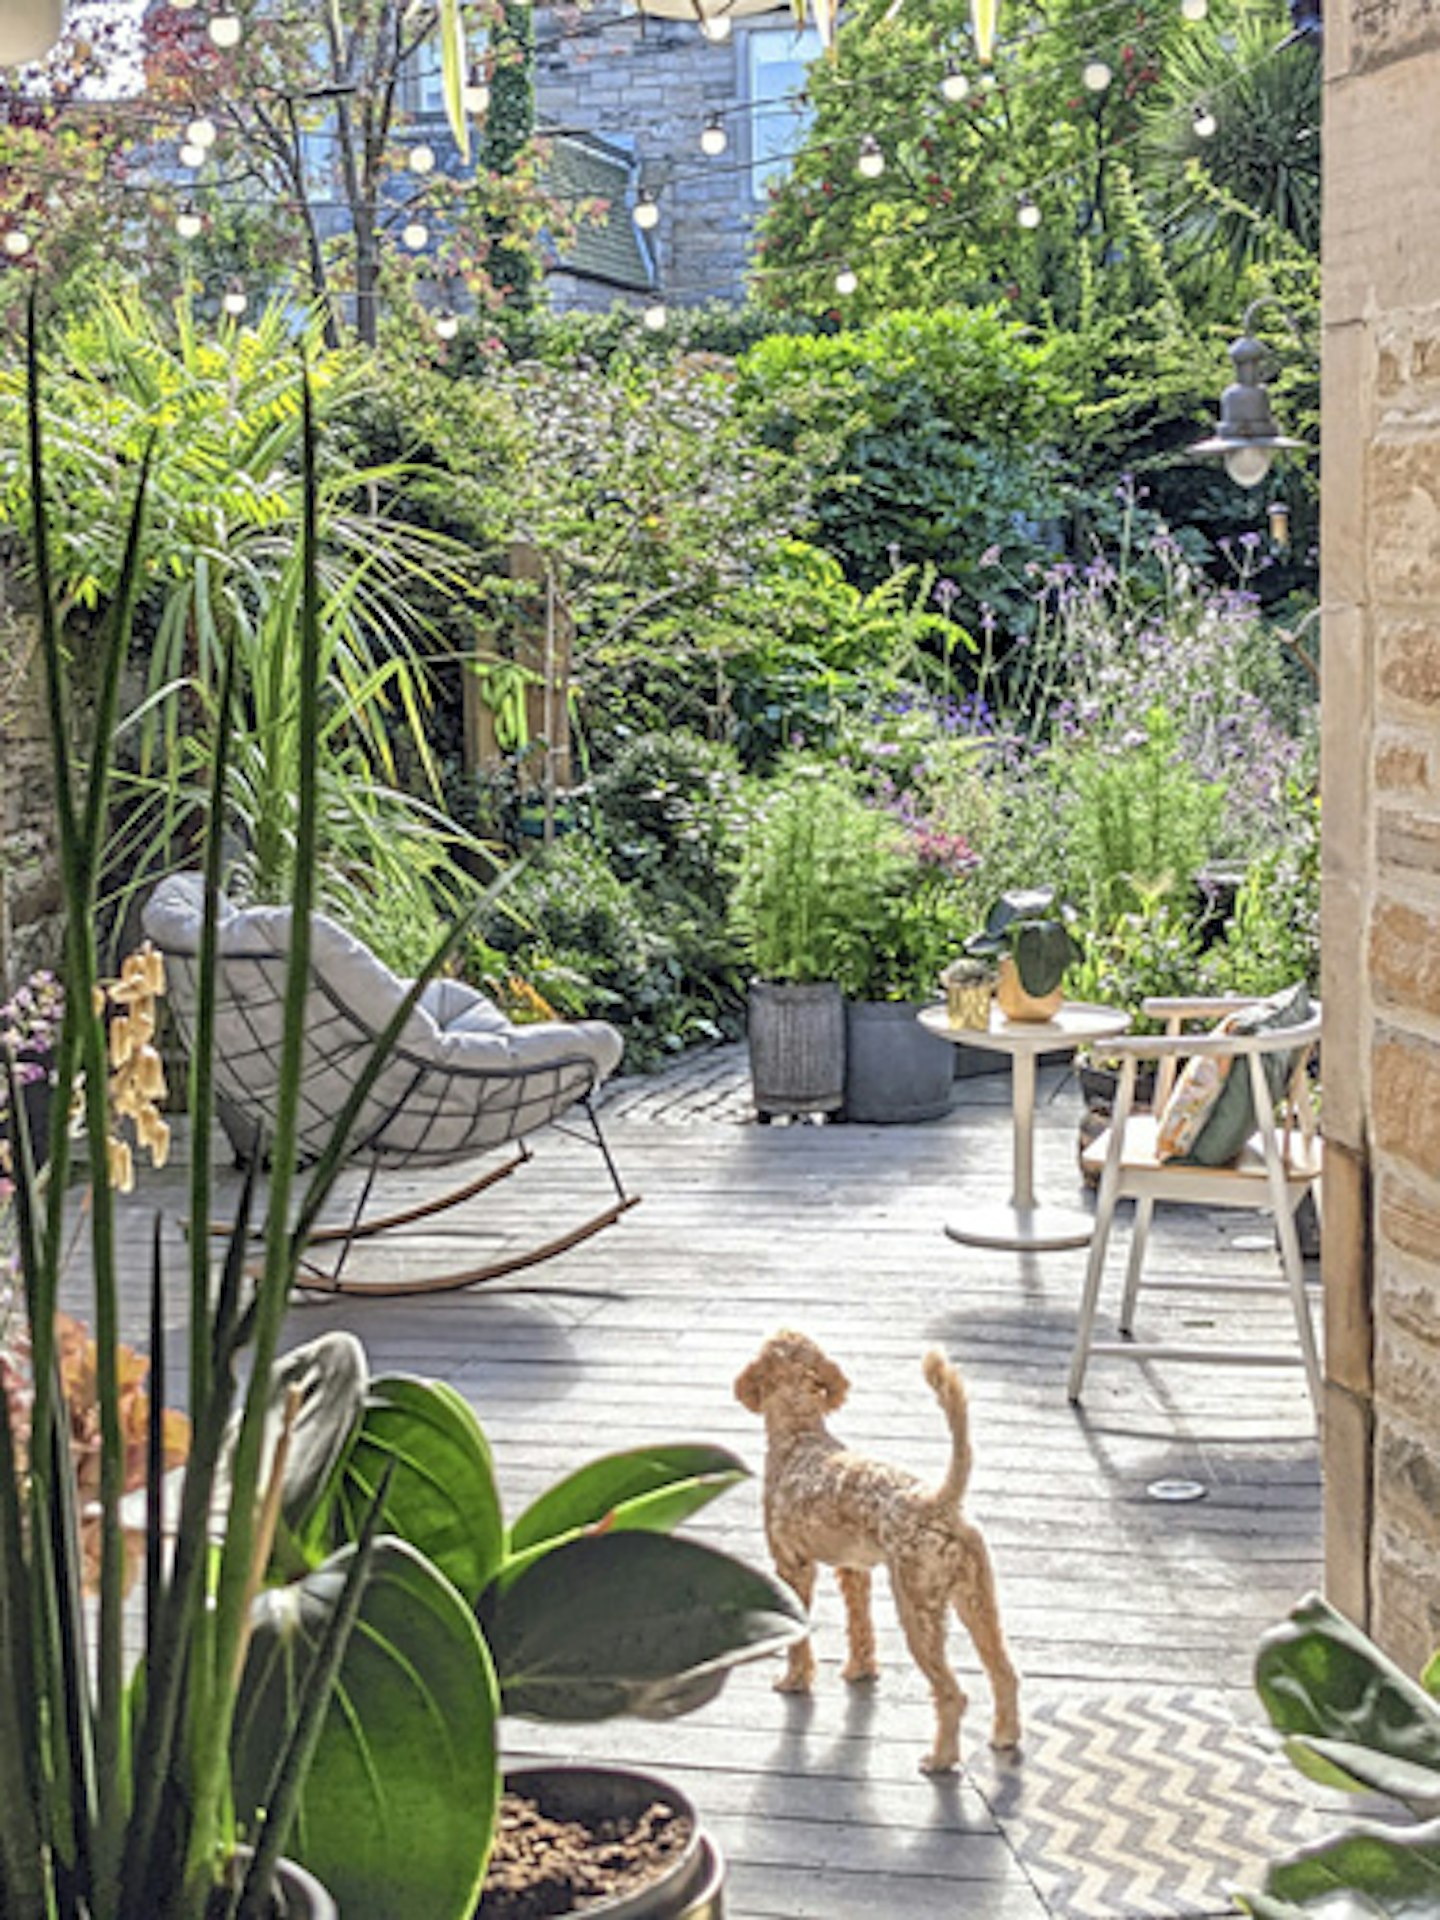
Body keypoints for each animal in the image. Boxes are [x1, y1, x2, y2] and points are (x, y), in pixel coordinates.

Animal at [737, 1336, 1021, 1766]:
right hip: (978, 1603)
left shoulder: (793, 1565)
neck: (800, 1436)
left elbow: (800, 1638)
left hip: (918, 1612)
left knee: (952, 1693)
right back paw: (1005, 1736)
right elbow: (860, 1628)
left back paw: (940, 1758)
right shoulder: (855, 1571)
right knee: (1004, 1673)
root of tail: (938, 1502)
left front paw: (794, 1680)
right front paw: (860, 1670)